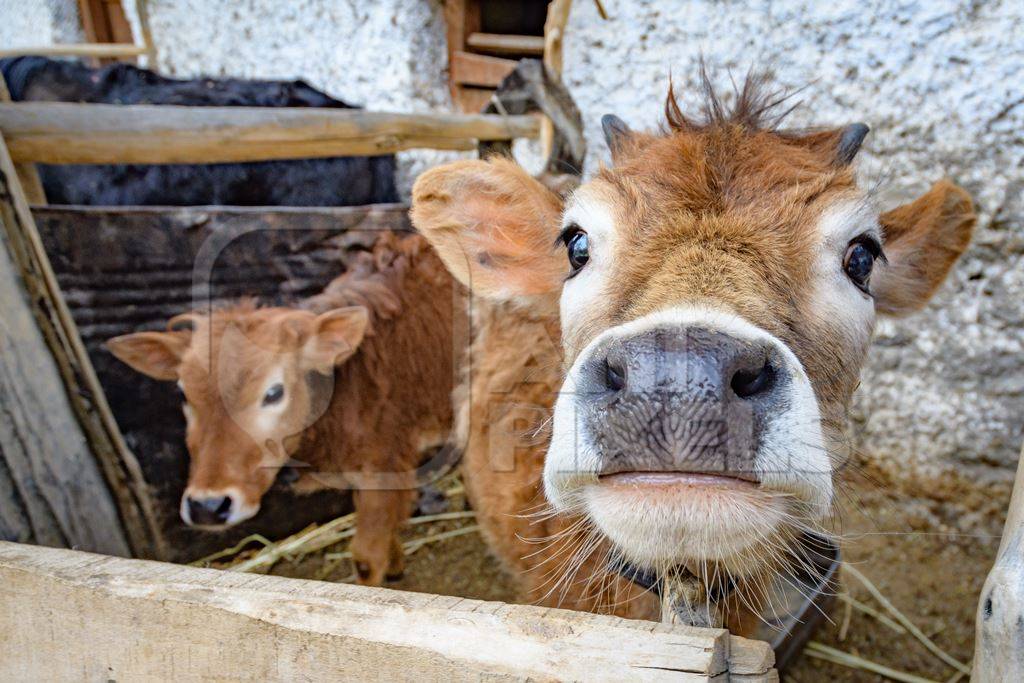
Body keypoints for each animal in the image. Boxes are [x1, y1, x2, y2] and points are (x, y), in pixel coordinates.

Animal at [108, 232, 456, 585]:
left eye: (274, 392)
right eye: (183, 393)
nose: (208, 505)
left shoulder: (383, 460)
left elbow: (366, 557)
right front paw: (396, 562)